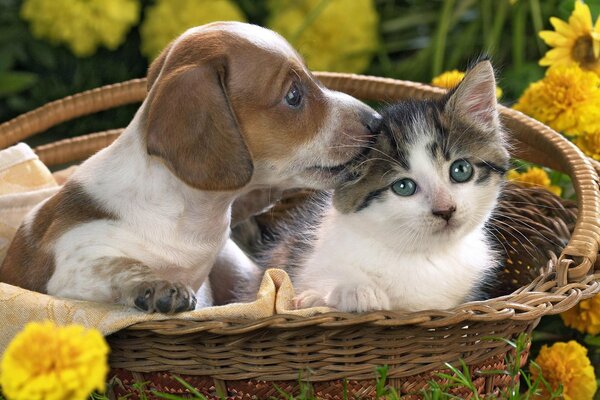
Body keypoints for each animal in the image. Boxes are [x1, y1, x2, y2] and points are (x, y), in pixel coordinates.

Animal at [0, 21, 382, 312]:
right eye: (293, 95)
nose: (377, 121)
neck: (189, 212)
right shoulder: (69, 267)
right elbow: (119, 266)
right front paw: (157, 286)